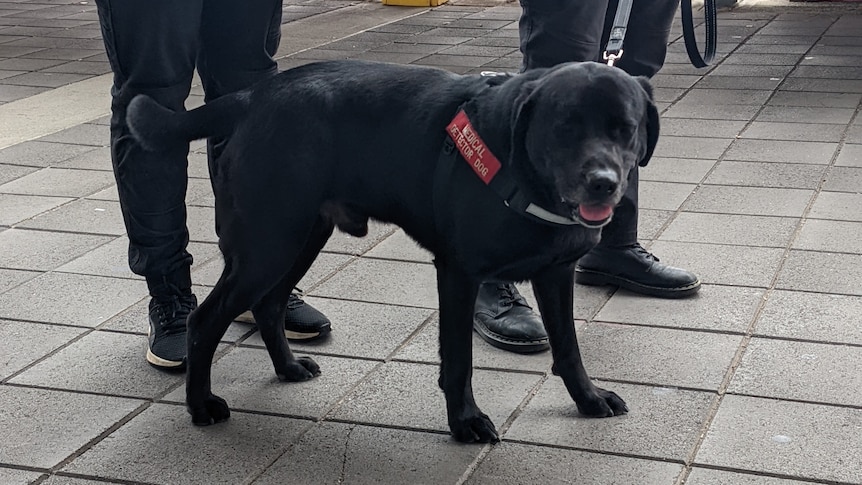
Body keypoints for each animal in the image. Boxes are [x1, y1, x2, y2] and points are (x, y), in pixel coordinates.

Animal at [125, 59, 660, 442]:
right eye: (564, 127)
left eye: (625, 128)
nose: (603, 183)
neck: (524, 173)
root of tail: (253, 95)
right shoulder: (459, 274)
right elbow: (459, 359)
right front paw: (465, 421)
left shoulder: (556, 273)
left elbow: (569, 348)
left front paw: (588, 399)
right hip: (267, 245)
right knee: (205, 320)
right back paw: (200, 405)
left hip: (300, 238)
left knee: (270, 304)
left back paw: (288, 368)